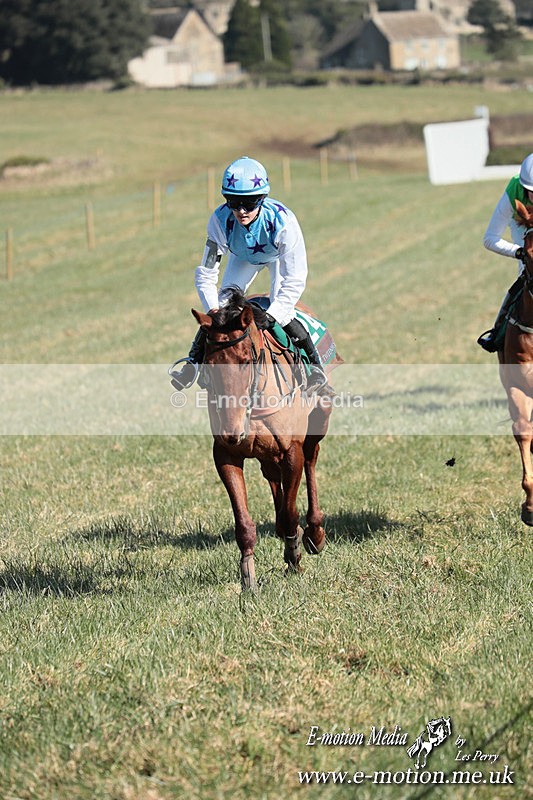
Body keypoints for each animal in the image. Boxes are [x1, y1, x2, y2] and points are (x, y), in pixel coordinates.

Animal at [191, 289, 342, 591]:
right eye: (209, 363)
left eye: (246, 359)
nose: (233, 430)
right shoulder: (225, 454)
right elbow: (243, 523)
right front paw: (248, 576)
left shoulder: (291, 451)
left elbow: (291, 511)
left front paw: (294, 555)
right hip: (265, 453)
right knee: (273, 476)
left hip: (319, 420)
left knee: (311, 459)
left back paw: (314, 532)